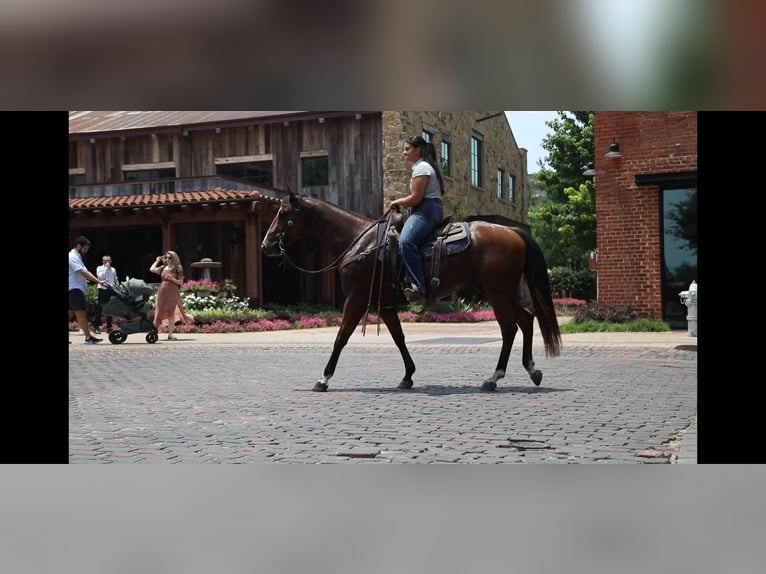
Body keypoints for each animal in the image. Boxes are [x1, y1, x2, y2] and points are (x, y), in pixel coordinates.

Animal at [264, 191, 564, 394]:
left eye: (283, 214)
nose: (266, 245)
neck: (359, 241)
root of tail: (512, 231)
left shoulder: (356, 300)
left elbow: (341, 338)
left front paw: (323, 378)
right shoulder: (384, 305)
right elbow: (399, 339)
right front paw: (407, 376)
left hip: (497, 293)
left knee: (510, 328)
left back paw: (494, 378)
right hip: (498, 291)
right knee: (526, 320)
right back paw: (532, 370)